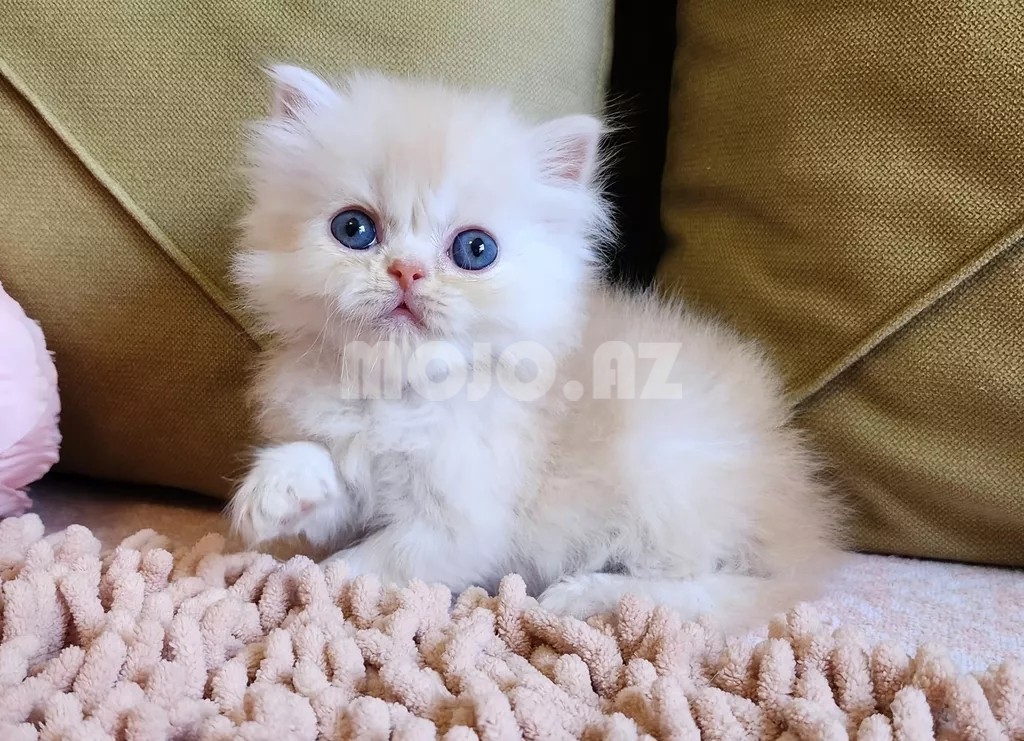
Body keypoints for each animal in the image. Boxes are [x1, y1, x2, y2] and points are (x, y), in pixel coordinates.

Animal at [228, 65, 842, 631]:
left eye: (475, 250)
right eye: (353, 229)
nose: (406, 271)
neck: (397, 389)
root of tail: (806, 520)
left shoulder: (462, 524)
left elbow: (363, 564)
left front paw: (302, 585)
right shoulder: (360, 480)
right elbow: (327, 477)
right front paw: (276, 490)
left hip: (665, 471)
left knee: (731, 589)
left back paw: (587, 595)